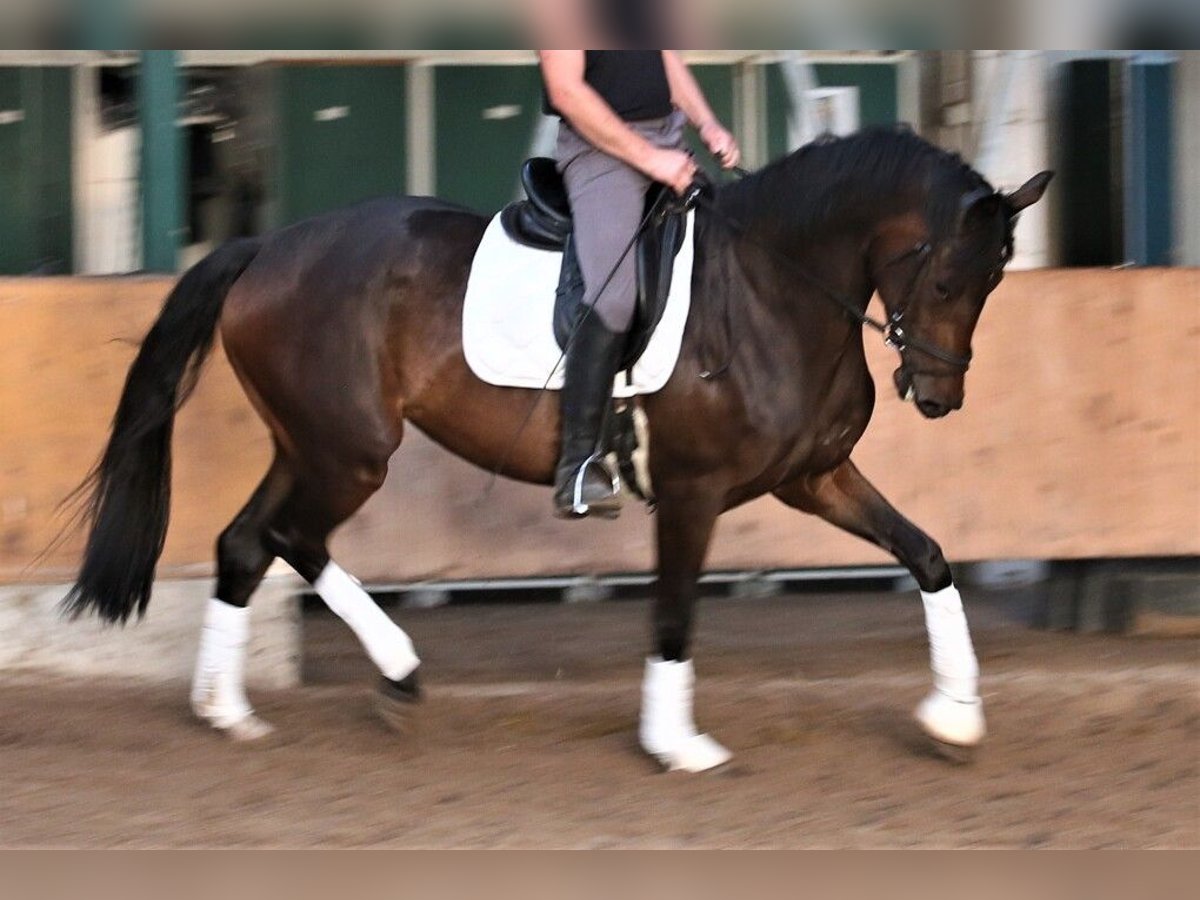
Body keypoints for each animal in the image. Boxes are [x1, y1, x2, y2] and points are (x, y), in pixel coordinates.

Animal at [63, 127, 1051, 772]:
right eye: (949, 279)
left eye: (997, 281)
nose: (939, 397)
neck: (774, 287)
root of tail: (269, 246)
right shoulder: (692, 490)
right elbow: (674, 612)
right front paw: (675, 743)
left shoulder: (814, 476)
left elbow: (927, 555)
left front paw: (955, 718)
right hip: (347, 450)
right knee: (284, 538)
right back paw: (374, 678)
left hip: (309, 443)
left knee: (248, 542)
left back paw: (235, 709)